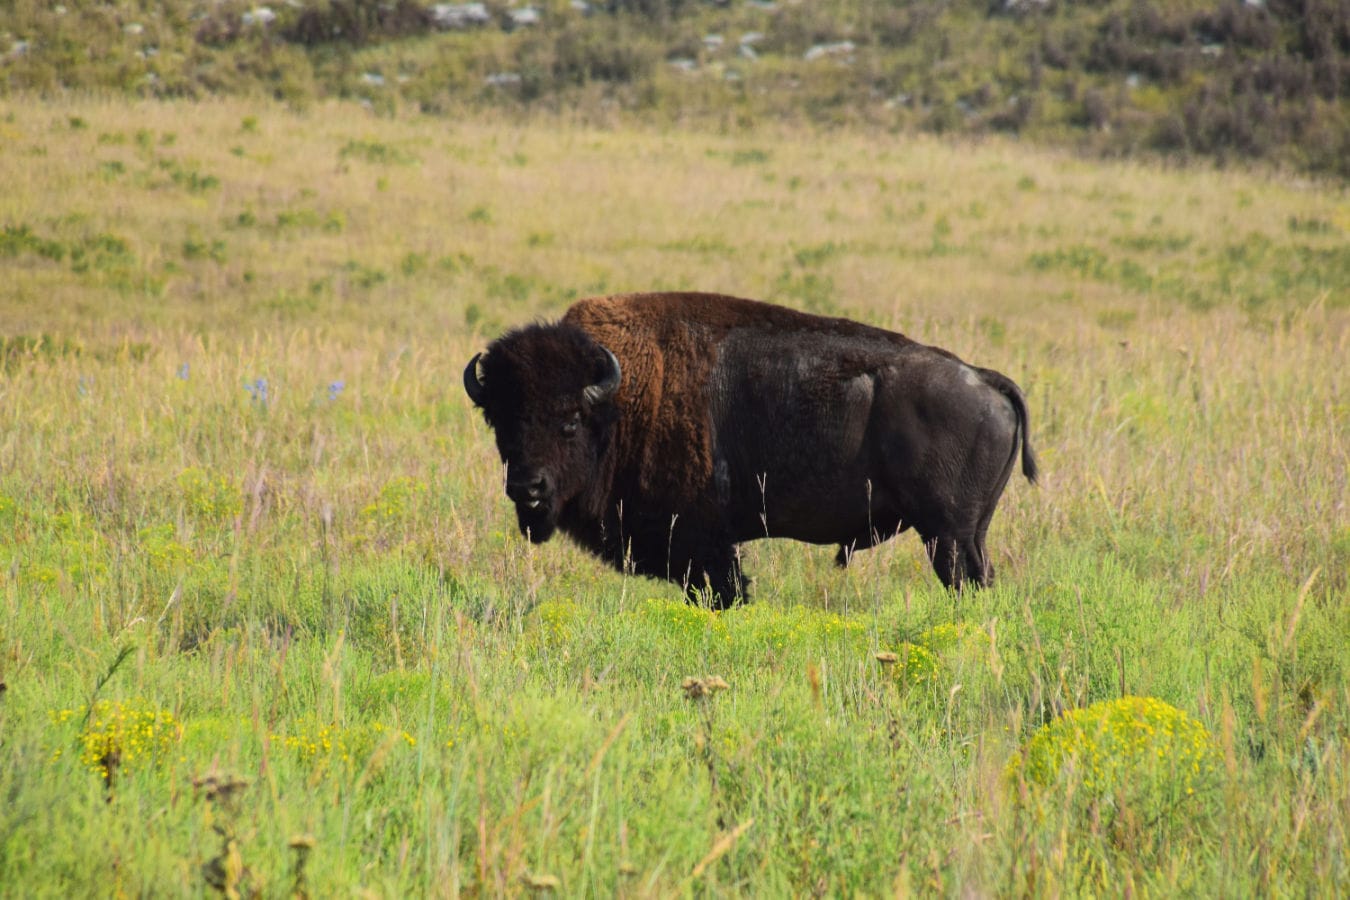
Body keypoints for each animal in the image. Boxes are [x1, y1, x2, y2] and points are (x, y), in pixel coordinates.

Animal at [464, 292, 1036, 607]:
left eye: (569, 421)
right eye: (500, 422)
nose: (527, 487)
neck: (620, 401)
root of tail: (983, 379)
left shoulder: (704, 546)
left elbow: (727, 589)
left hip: (949, 535)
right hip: (963, 535)